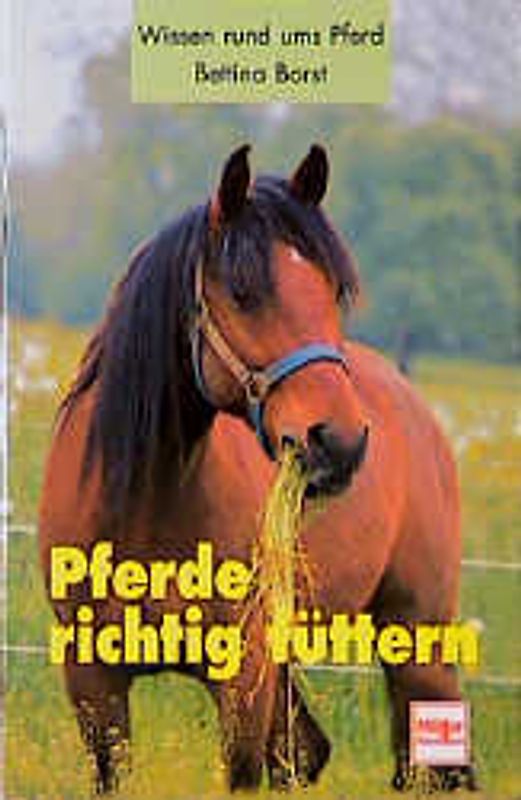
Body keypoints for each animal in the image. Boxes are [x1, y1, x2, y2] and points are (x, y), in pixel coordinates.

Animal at [39, 144, 478, 794]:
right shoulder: (93, 684)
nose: (340, 442)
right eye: (244, 292)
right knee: (307, 753)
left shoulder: (243, 678)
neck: (144, 504)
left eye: (332, 292)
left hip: (417, 639)